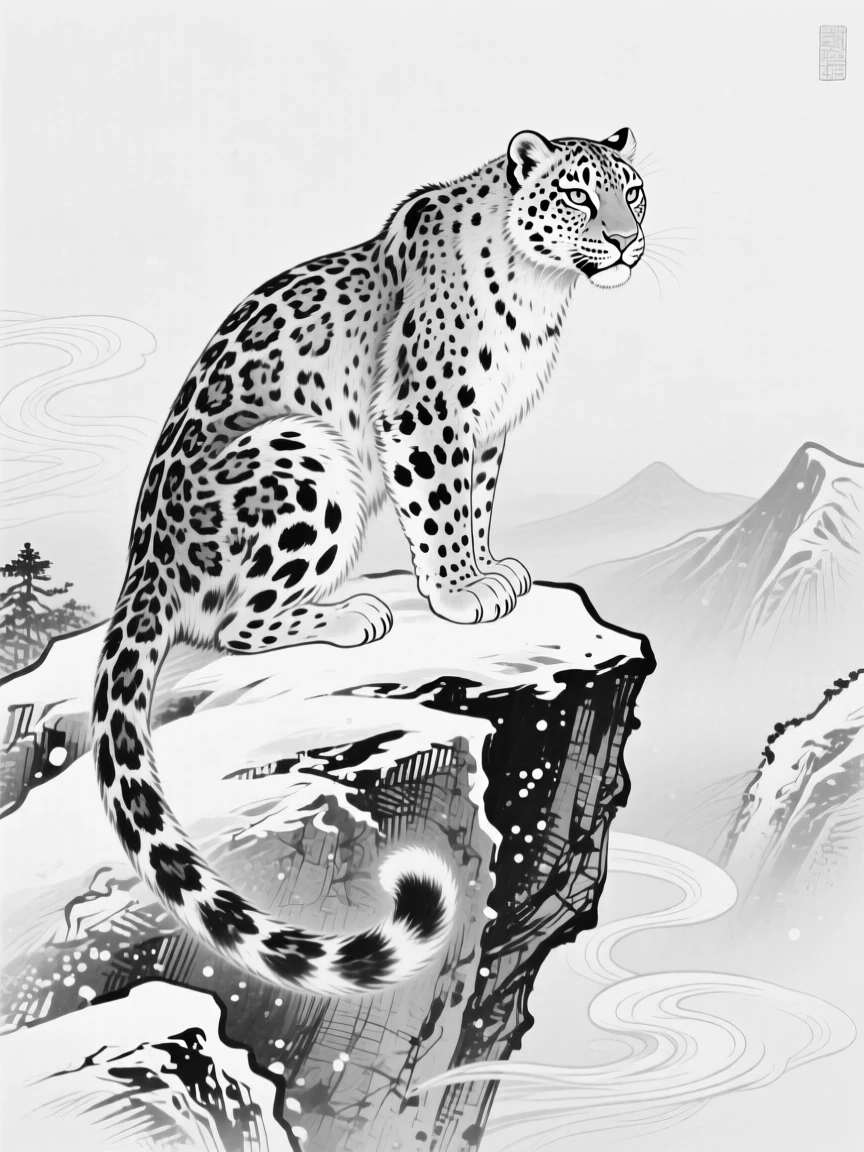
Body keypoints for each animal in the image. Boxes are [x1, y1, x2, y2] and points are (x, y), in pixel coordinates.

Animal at [92, 128, 647, 996]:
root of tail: (142, 568)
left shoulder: (487, 427)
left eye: (634, 192)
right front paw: (459, 591)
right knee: (235, 624)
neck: (542, 291)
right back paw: (352, 613)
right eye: (579, 197)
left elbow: (474, 500)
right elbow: (440, 503)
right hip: (300, 454)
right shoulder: (426, 412)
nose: (626, 240)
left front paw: (492, 571)